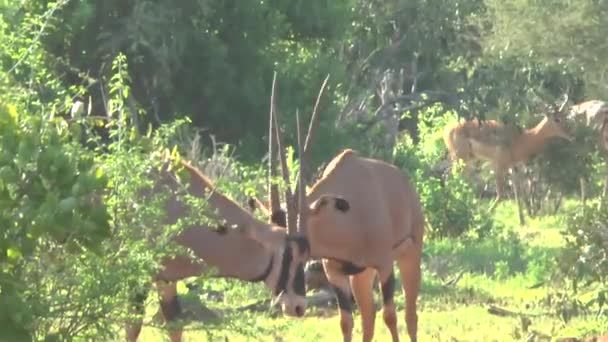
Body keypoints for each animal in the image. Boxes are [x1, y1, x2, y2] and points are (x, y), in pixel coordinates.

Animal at [126, 158, 312, 342]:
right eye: (290, 254)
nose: (299, 306)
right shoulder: (140, 275)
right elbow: (132, 327)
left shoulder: (166, 279)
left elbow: (175, 326)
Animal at [242, 75, 422, 342]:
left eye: (304, 251)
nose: (292, 306)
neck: (349, 215)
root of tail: (405, 183)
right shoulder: (335, 272)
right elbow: (346, 322)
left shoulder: (385, 265)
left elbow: (390, 316)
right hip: (360, 275)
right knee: (368, 318)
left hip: (410, 255)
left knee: (410, 316)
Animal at [442, 95, 576, 208]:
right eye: (557, 119)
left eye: (565, 117)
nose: (571, 135)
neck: (521, 139)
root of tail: (448, 130)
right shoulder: (500, 165)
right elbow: (501, 194)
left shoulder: (514, 167)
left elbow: (519, 195)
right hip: (461, 159)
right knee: (451, 178)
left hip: (468, 160)